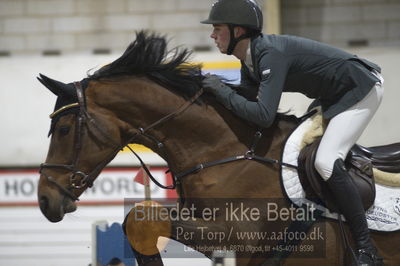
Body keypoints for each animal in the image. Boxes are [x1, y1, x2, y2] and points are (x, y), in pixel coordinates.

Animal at [37, 31, 400, 266]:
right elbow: (138, 219)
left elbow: (142, 218)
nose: (45, 200)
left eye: (65, 129)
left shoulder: (238, 235)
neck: (226, 152)